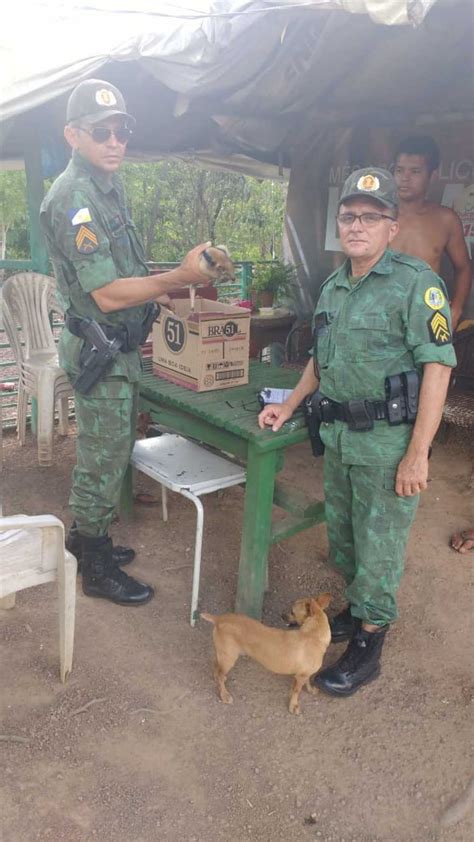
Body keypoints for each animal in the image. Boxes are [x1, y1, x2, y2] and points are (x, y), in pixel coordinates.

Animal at [202, 592, 332, 712]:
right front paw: (293, 705)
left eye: (292, 612)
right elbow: (296, 691)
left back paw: (218, 679)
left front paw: (310, 690)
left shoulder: (305, 674)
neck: (313, 634)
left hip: (224, 654)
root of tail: (219, 619)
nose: (281, 615)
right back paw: (224, 695)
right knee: (220, 672)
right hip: (229, 658)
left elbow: (307, 682)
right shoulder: (300, 677)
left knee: (216, 667)